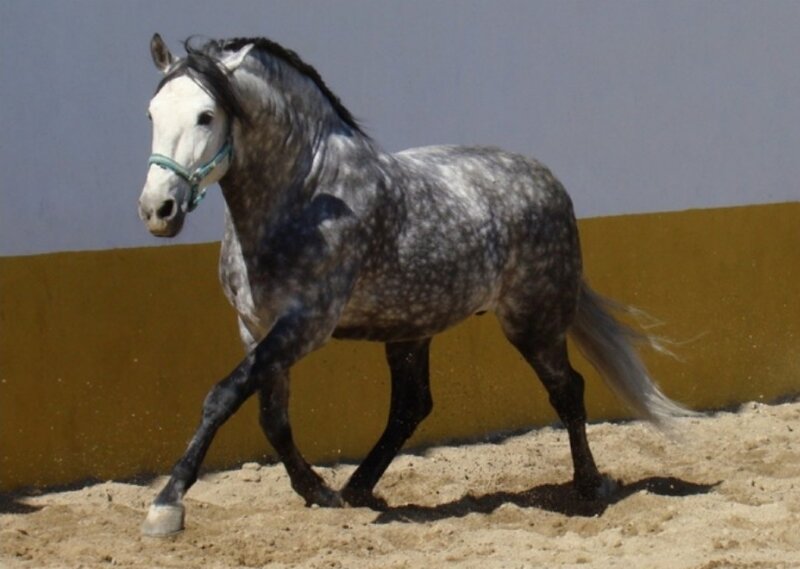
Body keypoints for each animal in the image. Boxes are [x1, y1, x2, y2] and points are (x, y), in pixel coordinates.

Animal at [137, 33, 694, 537]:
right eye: (151, 114)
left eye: (206, 116)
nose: (157, 209)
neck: (304, 198)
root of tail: (548, 181)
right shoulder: (256, 327)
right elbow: (271, 418)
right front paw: (318, 491)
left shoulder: (305, 325)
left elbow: (223, 396)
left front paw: (167, 505)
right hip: (412, 328)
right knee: (412, 406)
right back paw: (357, 488)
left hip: (533, 323)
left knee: (567, 391)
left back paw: (589, 485)